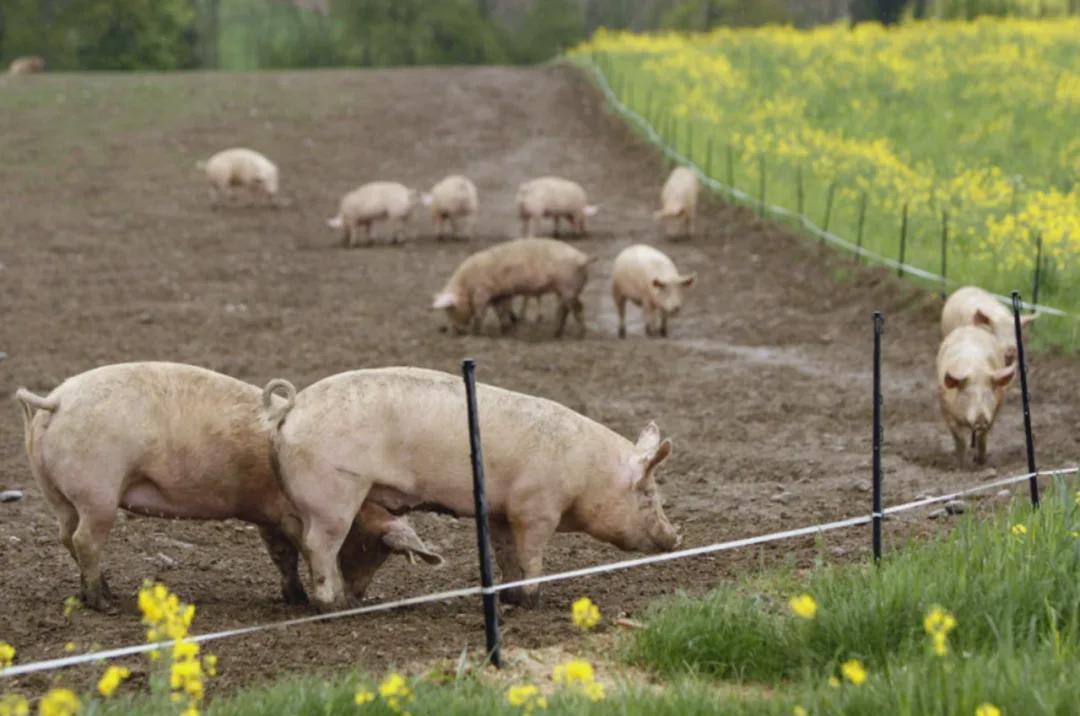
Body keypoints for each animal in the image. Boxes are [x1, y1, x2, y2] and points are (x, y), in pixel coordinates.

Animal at [14, 365, 440, 609]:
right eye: (374, 549)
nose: (359, 599)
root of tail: (55, 400)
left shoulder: (267, 516)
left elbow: (281, 556)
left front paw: (294, 598)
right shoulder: (290, 514)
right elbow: (301, 551)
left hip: (56, 493)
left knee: (66, 536)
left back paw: (100, 593)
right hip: (97, 493)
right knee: (85, 540)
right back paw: (104, 604)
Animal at [264, 369, 678, 609]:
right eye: (648, 494)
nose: (676, 537)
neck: (586, 471)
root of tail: (290, 408)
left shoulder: (500, 512)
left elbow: (507, 555)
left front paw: (511, 599)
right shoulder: (535, 509)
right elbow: (532, 556)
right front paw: (534, 602)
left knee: (305, 543)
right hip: (333, 496)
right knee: (319, 546)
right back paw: (331, 607)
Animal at [432, 235, 596, 336]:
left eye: (450, 309)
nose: (458, 332)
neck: (465, 286)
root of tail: (582, 257)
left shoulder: (482, 292)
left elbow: (480, 312)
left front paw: (476, 332)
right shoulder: (500, 294)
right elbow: (501, 311)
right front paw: (506, 329)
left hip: (568, 287)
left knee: (571, 308)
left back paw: (567, 333)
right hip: (569, 289)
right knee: (571, 308)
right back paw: (564, 332)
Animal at [937, 323, 1010, 464]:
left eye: (988, 393)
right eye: (967, 394)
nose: (980, 419)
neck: (975, 369)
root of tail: (969, 327)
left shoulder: (994, 411)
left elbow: (983, 436)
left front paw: (980, 462)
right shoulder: (946, 411)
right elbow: (959, 439)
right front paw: (960, 464)